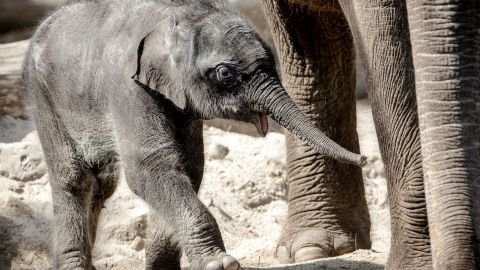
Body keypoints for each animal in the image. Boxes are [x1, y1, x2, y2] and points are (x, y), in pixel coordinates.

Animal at [22, 0, 366, 268]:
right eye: (225, 73)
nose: (363, 158)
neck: (171, 16)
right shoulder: (125, 87)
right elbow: (150, 167)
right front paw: (220, 264)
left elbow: (186, 167)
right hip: (43, 97)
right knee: (73, 178)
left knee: (101, 182)